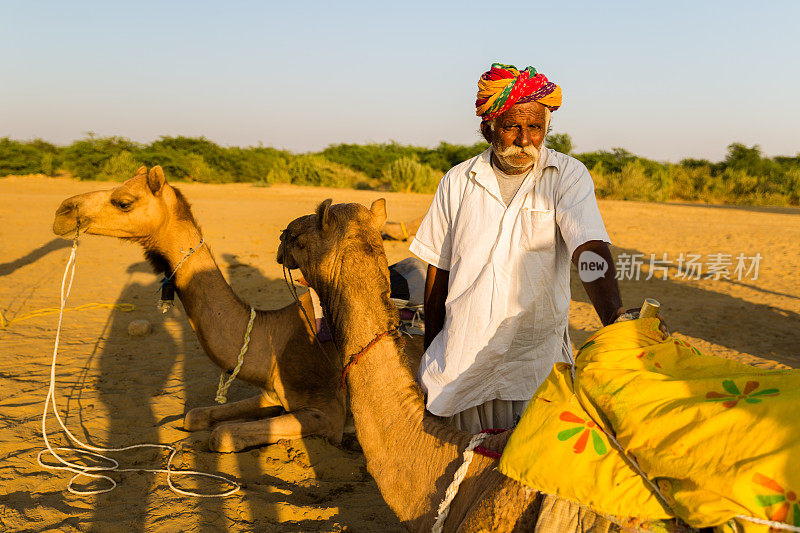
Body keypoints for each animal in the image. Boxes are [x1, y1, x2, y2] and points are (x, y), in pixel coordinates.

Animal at [50, 165, 346, 448]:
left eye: (123, 202)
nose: (61, 211)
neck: (276, 334)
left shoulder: (328, 414)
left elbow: (222, 435)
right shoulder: (272, 394)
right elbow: (194, 415)